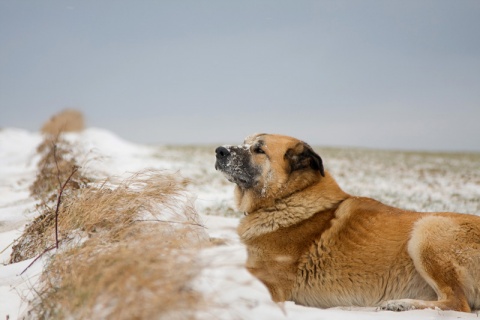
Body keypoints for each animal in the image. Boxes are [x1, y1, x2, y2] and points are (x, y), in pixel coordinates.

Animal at [215, 132, 480, 312]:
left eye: (259, 149)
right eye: (245, 141)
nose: (219, 151)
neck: (287, 197)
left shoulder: (270, 283)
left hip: (427, 231)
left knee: (458, 303)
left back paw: (400, 304)